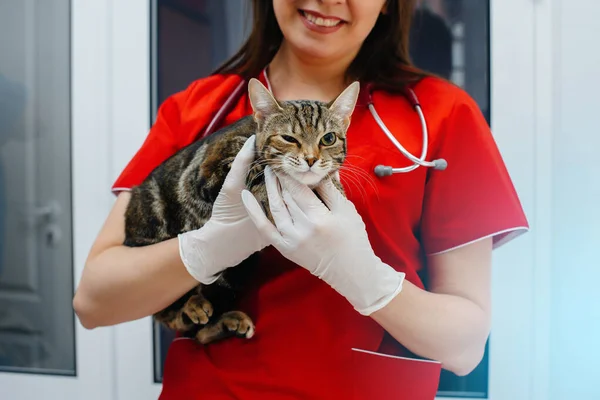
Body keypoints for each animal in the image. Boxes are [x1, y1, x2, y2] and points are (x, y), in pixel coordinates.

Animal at [120, 77, 358, 344]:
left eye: (328, 139)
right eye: (289, 138)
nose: (310, 159)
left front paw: (335, 192)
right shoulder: (209, 172)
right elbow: (260, 176)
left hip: (239, 269)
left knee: (200, 334)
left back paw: (225, 322)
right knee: (172, 315)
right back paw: (192, 307)